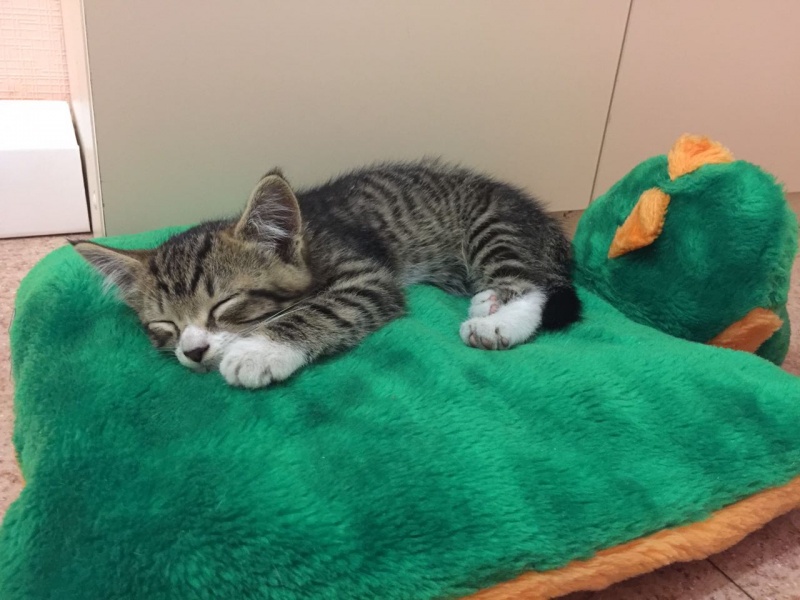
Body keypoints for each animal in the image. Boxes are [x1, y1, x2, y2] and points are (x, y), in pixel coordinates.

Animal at [73, 160, 581, 389]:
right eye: (164, 325)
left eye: (225, 305)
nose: (194, 351)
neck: (308, 240)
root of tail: (550, 225)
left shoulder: (367, 278)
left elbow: (323, 308)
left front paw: (257, 352)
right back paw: (487, 300)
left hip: (492, 225)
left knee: (533, 284)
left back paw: (498, 322)